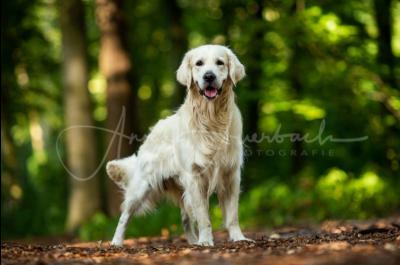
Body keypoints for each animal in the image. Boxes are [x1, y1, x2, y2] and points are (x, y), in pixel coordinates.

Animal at [105, 43, 250, 245]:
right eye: (199, 63)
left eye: (220, 63)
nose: (209, 76)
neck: (211, 119)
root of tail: (151, 134)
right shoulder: (195, 176)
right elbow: (204, 216)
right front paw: (206, 241)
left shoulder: (230, 174)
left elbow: (232, 214)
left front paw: (238, 237)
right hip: (141, 187)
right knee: (124, 216)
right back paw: (116, 242)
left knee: (185, 218)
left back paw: (192, 241)